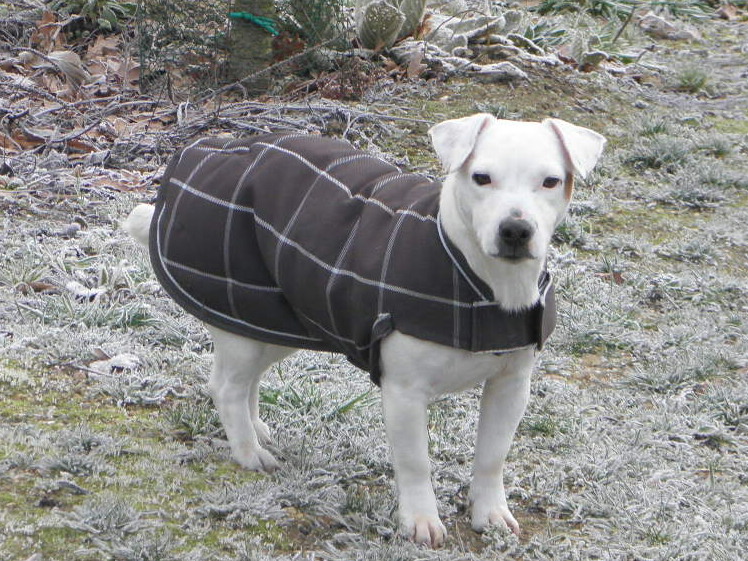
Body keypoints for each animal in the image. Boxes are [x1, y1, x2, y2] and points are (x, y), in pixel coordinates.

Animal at [125, 111, 604, 544]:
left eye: (551, 181)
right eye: (481, 178)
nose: (515, 230)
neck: (475, 277)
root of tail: (200, 152)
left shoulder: (511, 385)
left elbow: (492, 455)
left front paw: (490, 512)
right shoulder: (404, 393)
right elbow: (415, 463)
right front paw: (421, 520)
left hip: (271, 317)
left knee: (242, 379)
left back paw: (254, 425)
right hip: (244, 313)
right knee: (226, 386)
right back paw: (247, 451)